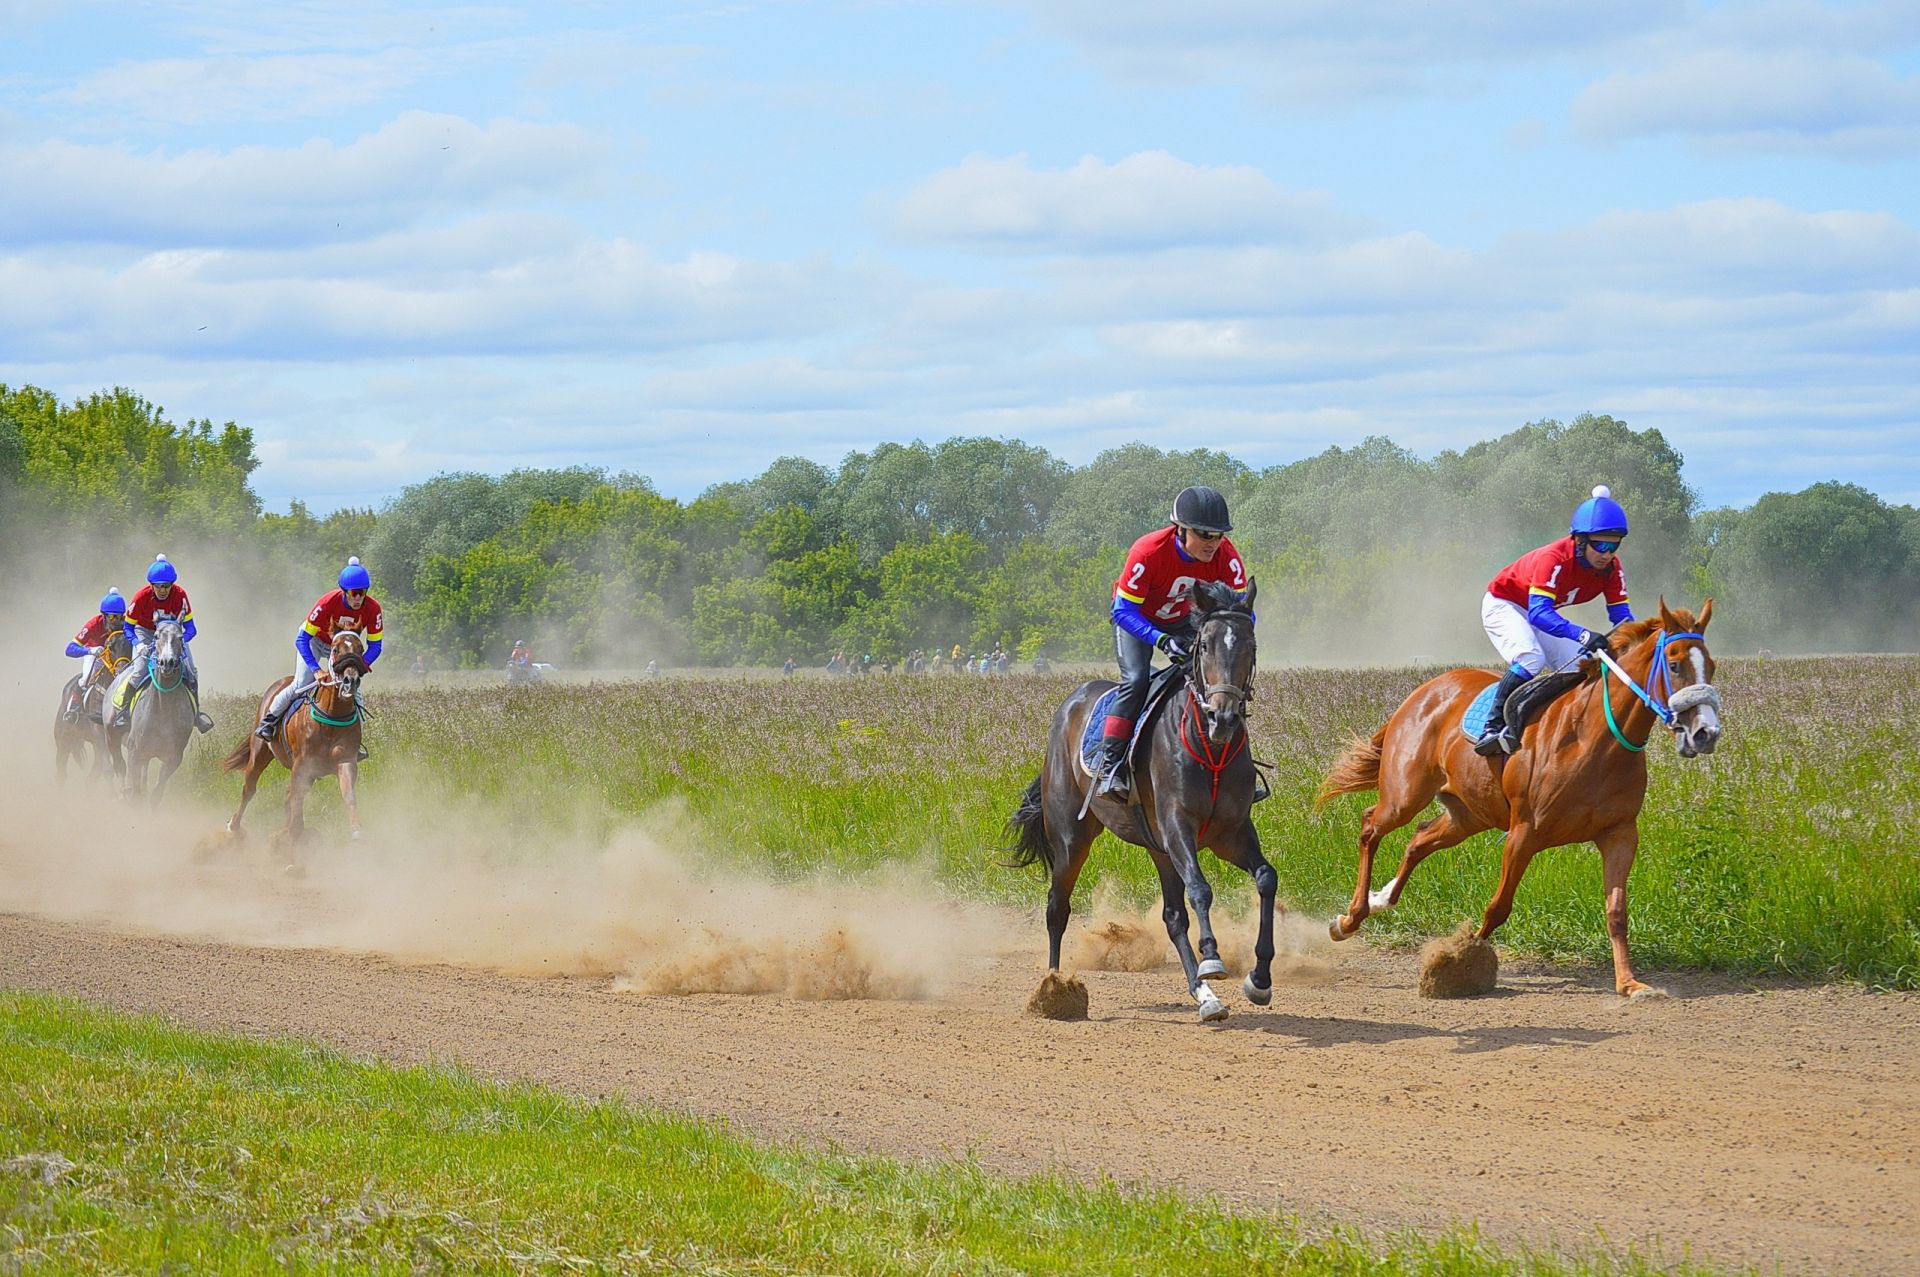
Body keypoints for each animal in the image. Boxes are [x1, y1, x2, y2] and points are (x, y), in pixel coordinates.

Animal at [53, 629, 131, 787]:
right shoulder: (99, 731)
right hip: (63, 738)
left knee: (92, 775)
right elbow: (109, 769)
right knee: (61, 773)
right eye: (110, 647)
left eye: (131, 645)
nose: (122, 670)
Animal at [106, 618, 196, 806]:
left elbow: (156, 793)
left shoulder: (173, 757)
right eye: (156, 636)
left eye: (180, 637)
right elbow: (135, 792)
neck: (164, 709)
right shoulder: (135, 751)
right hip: (111, 736)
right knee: (119, 765)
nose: (167, 662)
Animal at [222, 629, 368, 852]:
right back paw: (234, 826)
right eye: (336, 649)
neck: (332, 716)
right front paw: (295, 836)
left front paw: (357, 833)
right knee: (250, 788)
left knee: (288, 795)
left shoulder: (345, 760)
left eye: (360, 650)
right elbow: (296, 800)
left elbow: (348, 795)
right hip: (260, 752)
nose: (350, 681)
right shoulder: (302, 764)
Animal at [1006, 583, 1274, 1021]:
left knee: (1173, 917)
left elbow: (1266, 878)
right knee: (1057, 907)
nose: (1224, 718)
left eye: (1250, 645)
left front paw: (1259, 979)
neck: (1211, 750)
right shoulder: (1178, 825)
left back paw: (1205, 997)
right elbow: (1201, 889)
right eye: (1204, 646)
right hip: (1071, 837)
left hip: (1158, 848)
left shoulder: (1230, 834)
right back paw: (1054, 989)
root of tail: (1072, 702)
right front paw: (1213, 959)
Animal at [1320, 599, 1728, 998]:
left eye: (1710, 665)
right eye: (1674, 664)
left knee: (1418, 840)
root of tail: (1423, 691)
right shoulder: (1524, 833)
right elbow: (1498, 907)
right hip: (1405, 794)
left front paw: (1630, 983)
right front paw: (1460, 962)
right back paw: (1350, 918)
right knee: (1371, 826)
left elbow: (1616, 911)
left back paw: (1380, 899)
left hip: (1468, 814)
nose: (1705, 733)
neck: (1594, 739)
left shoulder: (1620, 834)